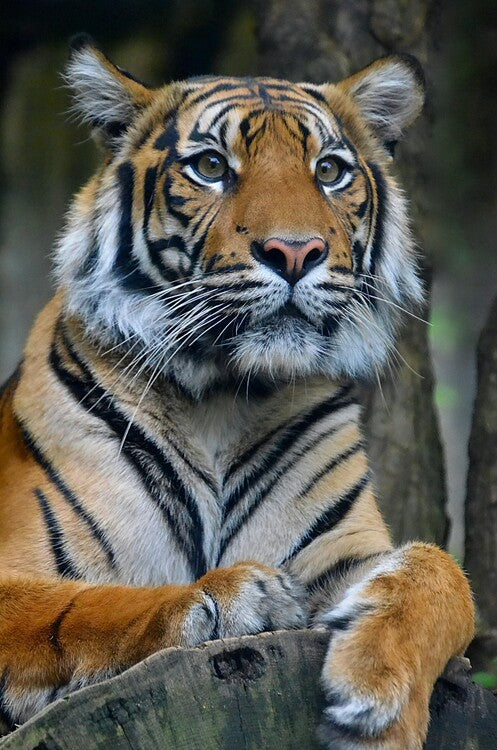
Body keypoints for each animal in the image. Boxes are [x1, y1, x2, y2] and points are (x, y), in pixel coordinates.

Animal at [0, 35, 474, 749]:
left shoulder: (345, 553)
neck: (221, 398)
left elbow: (443, 575)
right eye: (210, 166)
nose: (295, 251)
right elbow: (84, 604)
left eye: (329, 170)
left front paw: (380, 697)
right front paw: (234, 597)